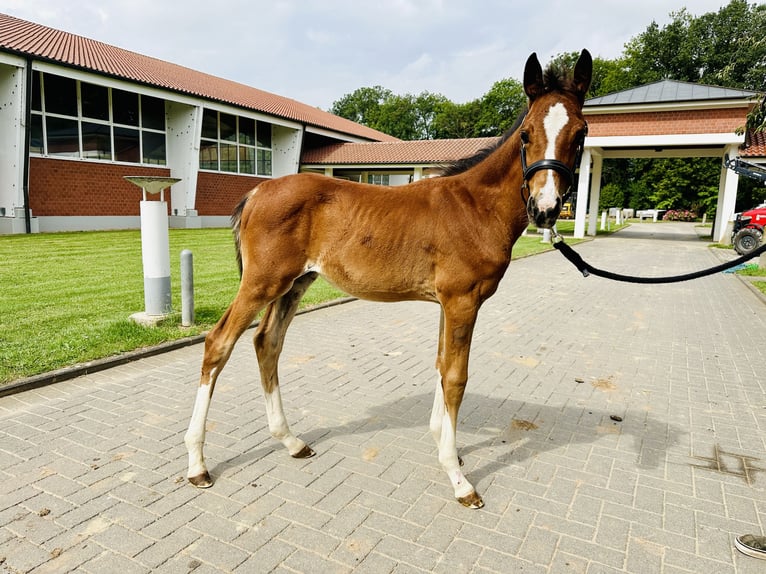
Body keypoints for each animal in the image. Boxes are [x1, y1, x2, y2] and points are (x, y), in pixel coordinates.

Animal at [184, 50, 592, 509]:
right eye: (525, 133)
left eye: (581, 133)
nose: (546, 207)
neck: (475, 206)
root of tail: (256, 192)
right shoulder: (462, 300)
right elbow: (456, 377)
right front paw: (458, 478)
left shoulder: (448, 302)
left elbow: (440, 365)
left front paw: (445, 447)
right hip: (262, 282)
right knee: (219, 343)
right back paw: (197, 465)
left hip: (295, 284)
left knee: (266, 343)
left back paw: (290, 441)